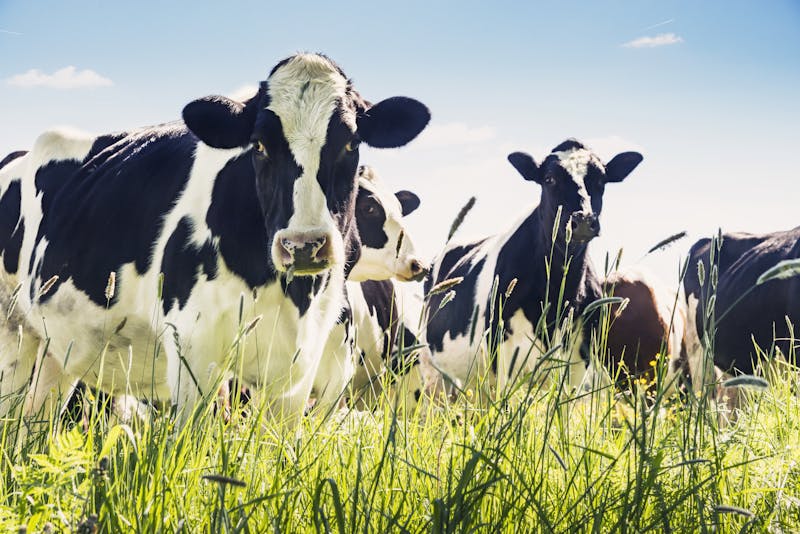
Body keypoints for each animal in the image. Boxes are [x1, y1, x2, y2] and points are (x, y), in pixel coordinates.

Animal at [0, 53, 432, 432]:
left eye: (350, 143)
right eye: (259, 145)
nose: (304, 245)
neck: (290, 295)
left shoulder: (303, 372)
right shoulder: (194, 348)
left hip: (56, 347)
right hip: (11, 336)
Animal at [422, 140, 640, 400]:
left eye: (601, 181)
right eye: (549, 179)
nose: (584, 220)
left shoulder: (580, 358)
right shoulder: (502, 354)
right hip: (434, 370)